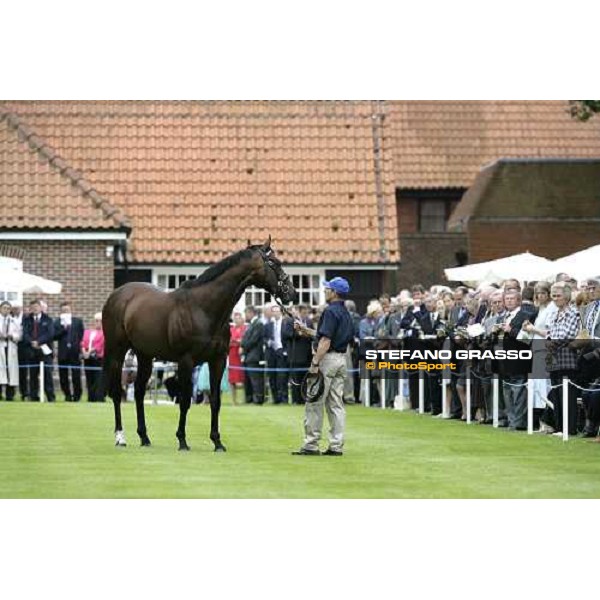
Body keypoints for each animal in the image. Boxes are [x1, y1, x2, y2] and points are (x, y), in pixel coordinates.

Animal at [104, 238, 298, 450]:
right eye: (274, 263)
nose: (292, 293)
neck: (203, 309)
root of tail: (117, 294)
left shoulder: (218, 360)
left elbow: (215, 400)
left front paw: (217, 442)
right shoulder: (186, 361)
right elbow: (185, 400)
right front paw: (182, 440)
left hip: (144, 355)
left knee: (139, 392)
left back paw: (144, 438)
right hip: (117, 352)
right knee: (117, 393)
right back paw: (120, 437)